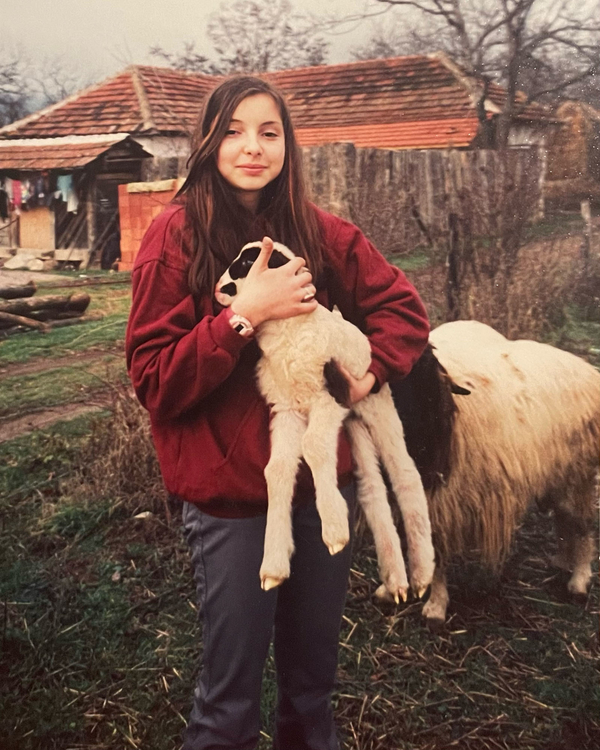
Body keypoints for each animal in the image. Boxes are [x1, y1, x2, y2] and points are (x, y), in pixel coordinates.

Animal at [215, 241, 435, 600]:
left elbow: (314, 448)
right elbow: (276, 470)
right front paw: (273, 568)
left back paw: (420, 576)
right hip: (353, 425)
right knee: (372, 489)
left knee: (405, 475)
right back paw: (396, 581)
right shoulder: (287, 410)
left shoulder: (327, 399)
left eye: (246, 263)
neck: (289, 333)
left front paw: (334, 532)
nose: (219, 289)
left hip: (374, 406)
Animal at [387, 320, 600, 626]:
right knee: (564, 518)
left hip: (577, 473)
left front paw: (436, 606)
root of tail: (584, 367)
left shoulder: (441, 501)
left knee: (581, 524)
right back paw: (562, 560)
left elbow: (437, 552)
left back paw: (579, 580)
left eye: (423, 371)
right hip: (557, 472)